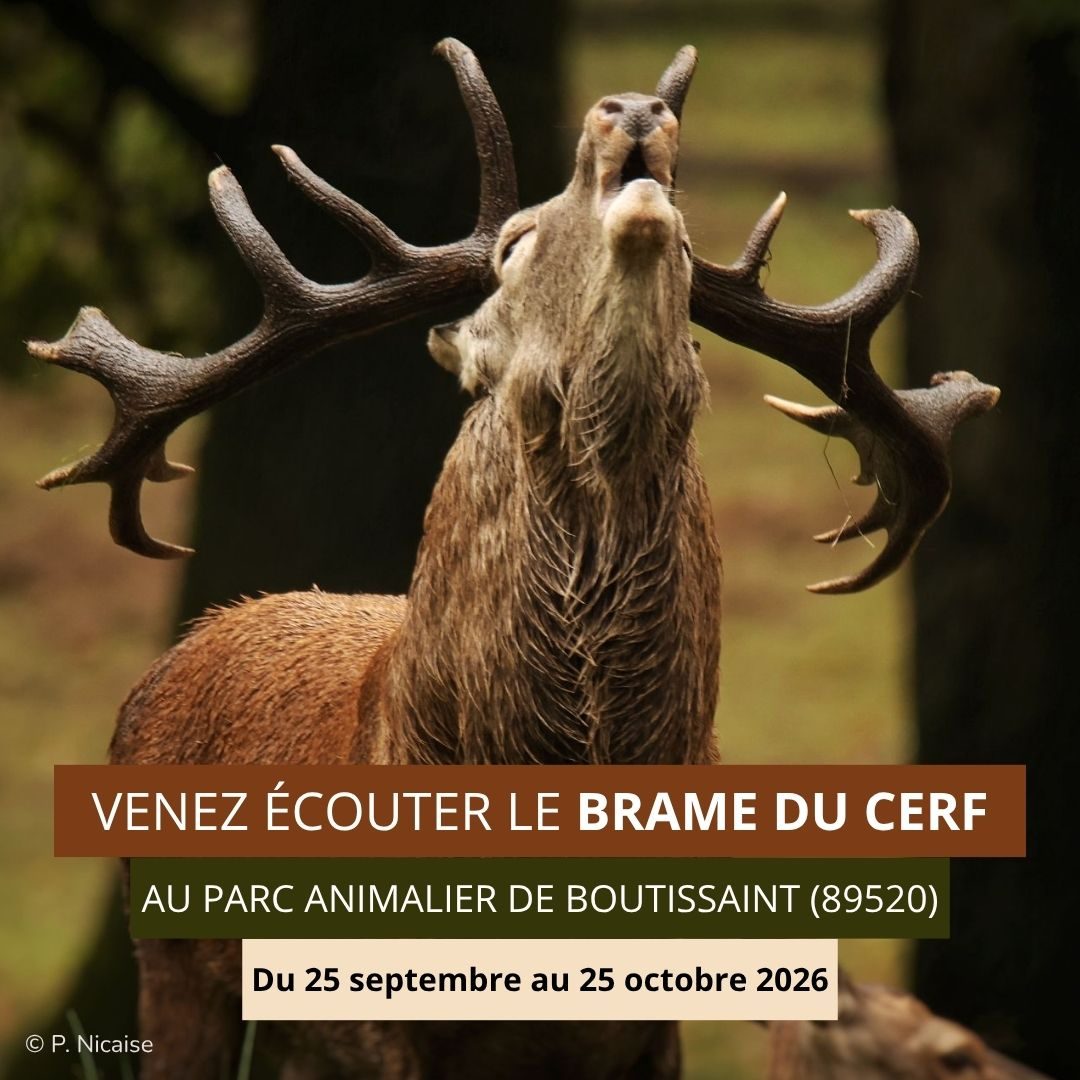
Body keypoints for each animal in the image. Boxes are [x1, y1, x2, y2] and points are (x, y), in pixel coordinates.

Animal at [31, 37, 1012, 1080]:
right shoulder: (390, 1025)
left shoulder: (654, 1031)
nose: (633, 110)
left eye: (691, 263)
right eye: (513, 245)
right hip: (172, 963)